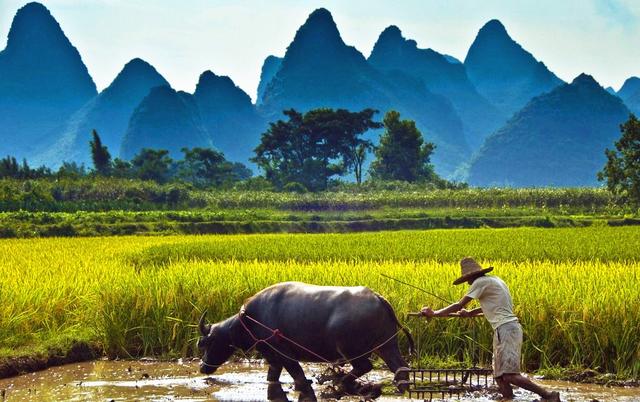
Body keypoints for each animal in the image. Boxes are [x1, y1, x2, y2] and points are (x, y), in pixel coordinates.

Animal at [198, 282, 412, 400]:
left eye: (208, 342)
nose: (202, 367)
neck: (250, 319)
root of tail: (377, 298)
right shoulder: (269, 353)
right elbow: (272, 374)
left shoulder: (282, 350)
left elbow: (296, 372)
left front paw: (302, 385)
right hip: (387, 345)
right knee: (400, 366)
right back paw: (402, 388)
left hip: (349, 348)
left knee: (364, 366)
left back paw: (340, 383)